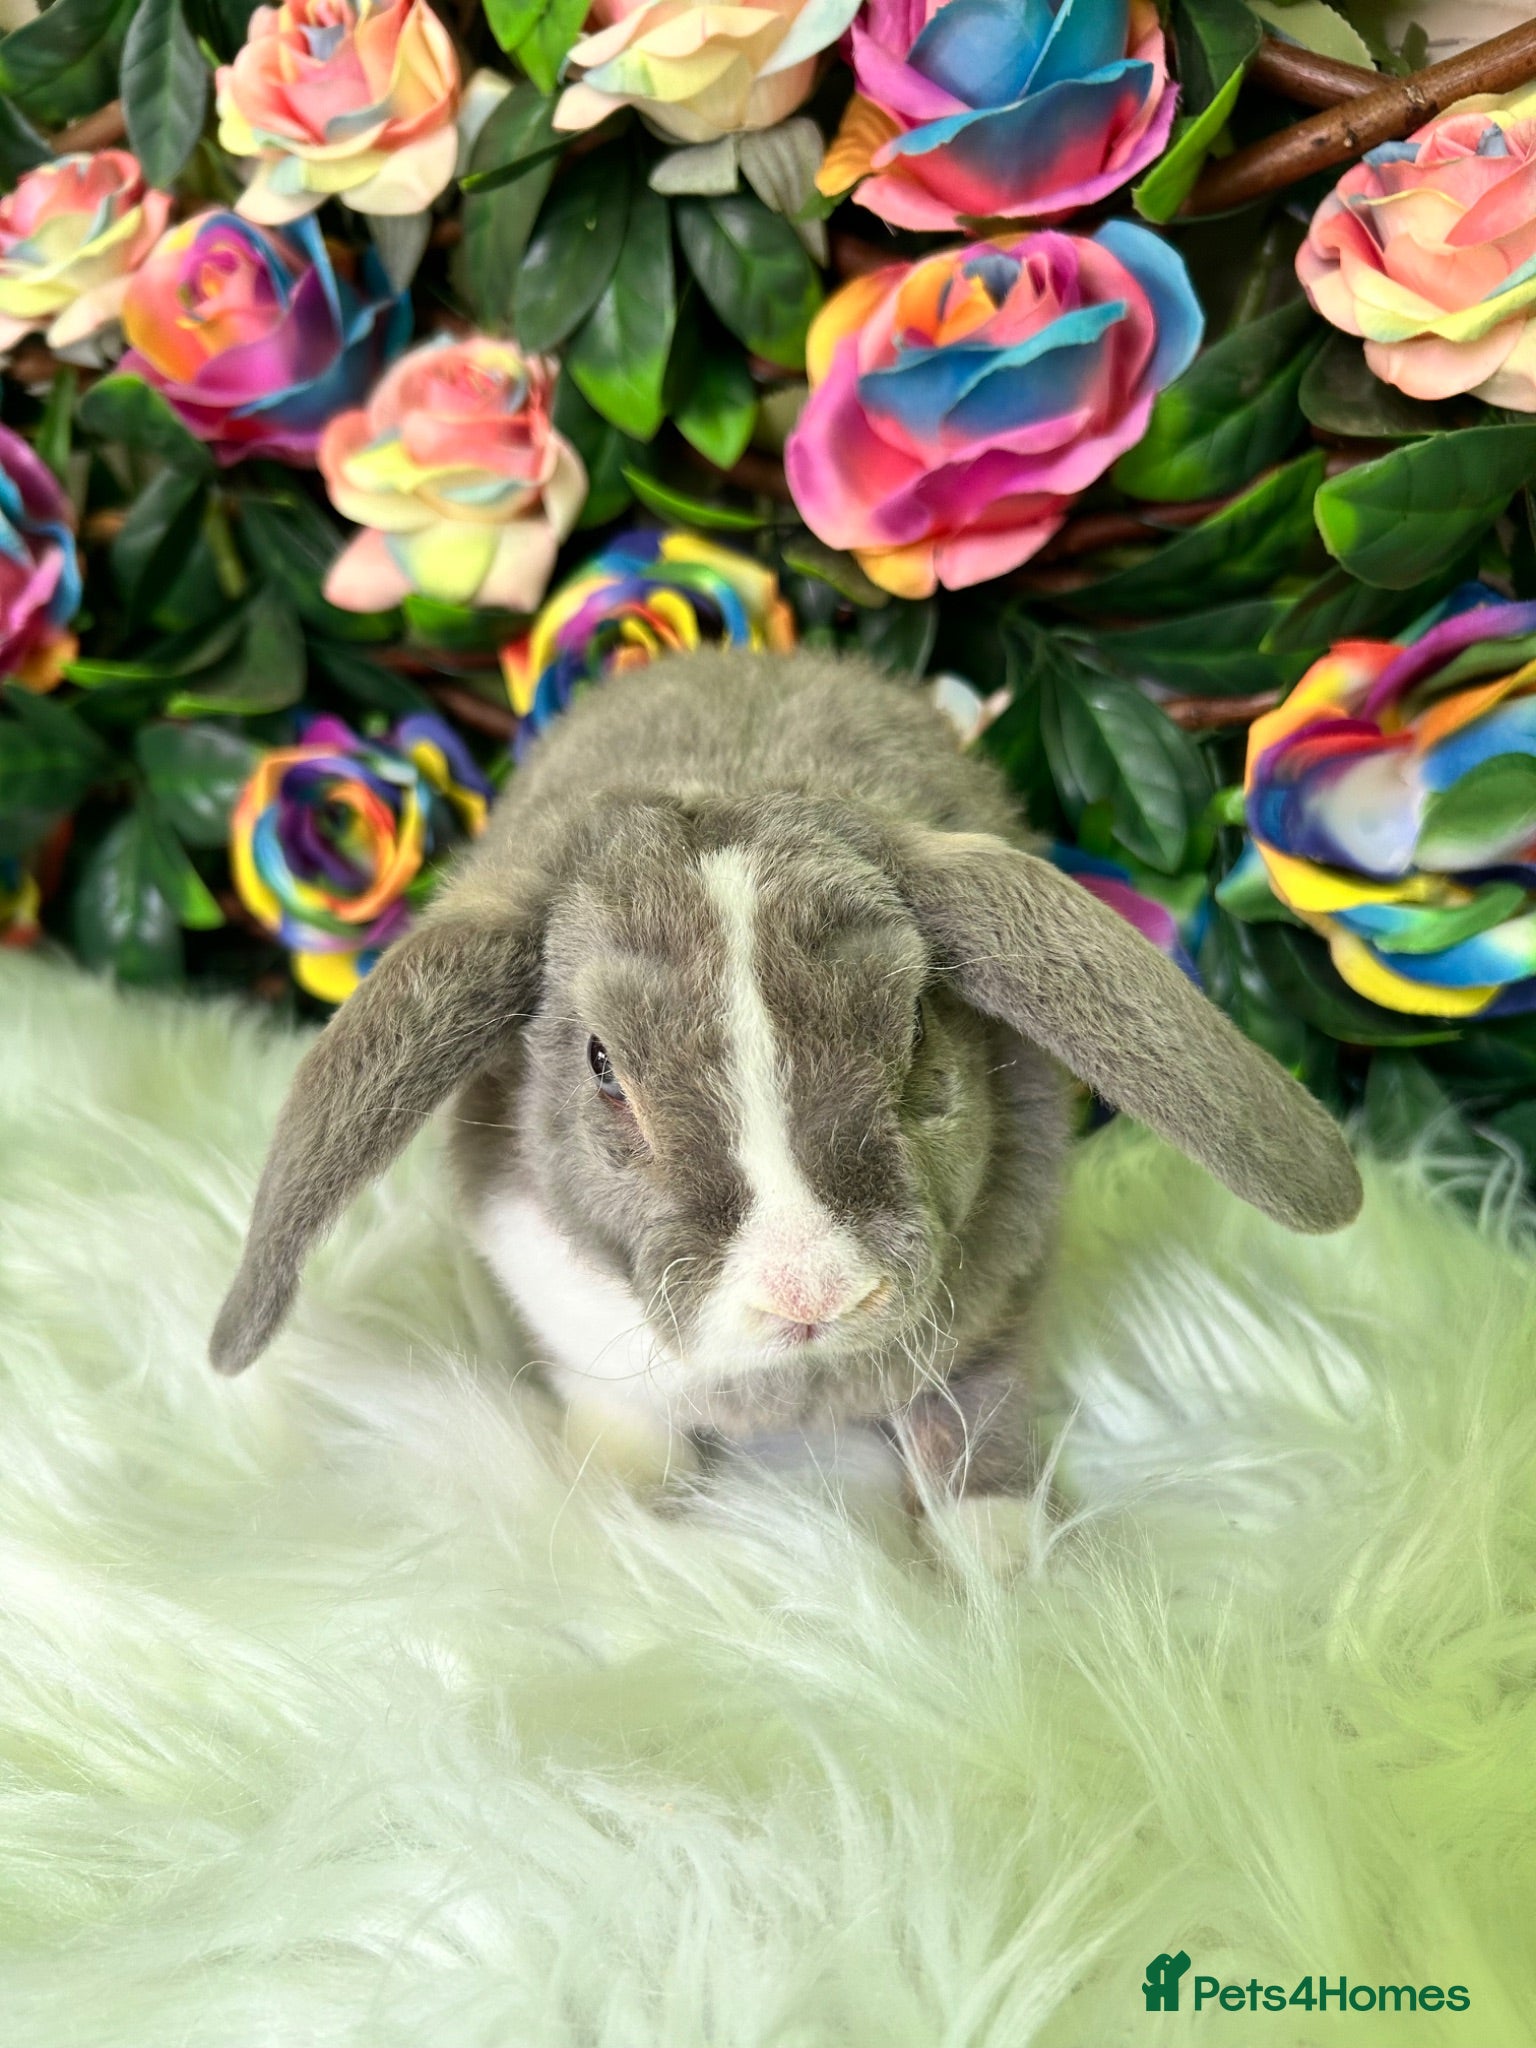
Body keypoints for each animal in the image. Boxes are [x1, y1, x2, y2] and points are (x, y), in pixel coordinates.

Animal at [208, 649, 1362, 1499]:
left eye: (915, 1026)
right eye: (602, 1065)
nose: (812, 1292)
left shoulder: (985, 1351)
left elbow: (983, 1474)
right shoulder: (598, 1364)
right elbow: (625, 1457)